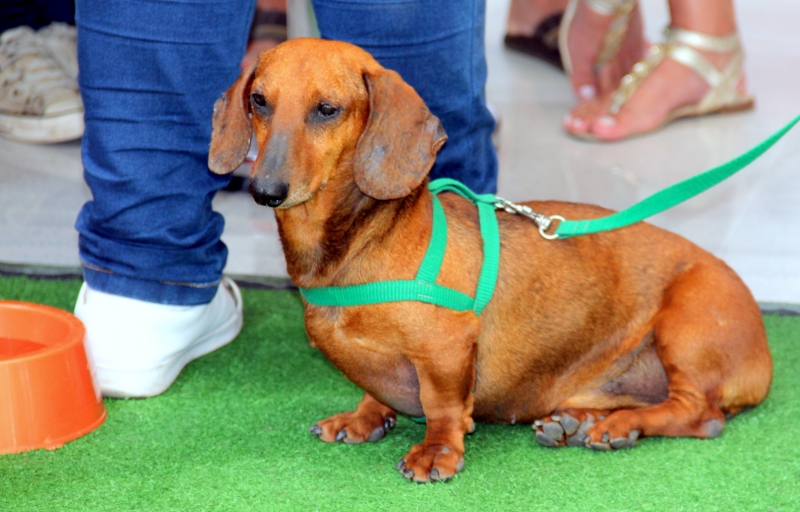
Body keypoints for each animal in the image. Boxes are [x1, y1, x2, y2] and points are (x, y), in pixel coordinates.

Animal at [209, 38, 772, 482]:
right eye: (259, 100)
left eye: (327, 109)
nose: (263, 191)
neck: (359, 244)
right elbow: (376, 393)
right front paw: (364, 417)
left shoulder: (448, 349)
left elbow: (441, 406)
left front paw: (437, 452)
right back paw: (579, 422)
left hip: (686, 324)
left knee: (700, 414)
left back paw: (617, 426)